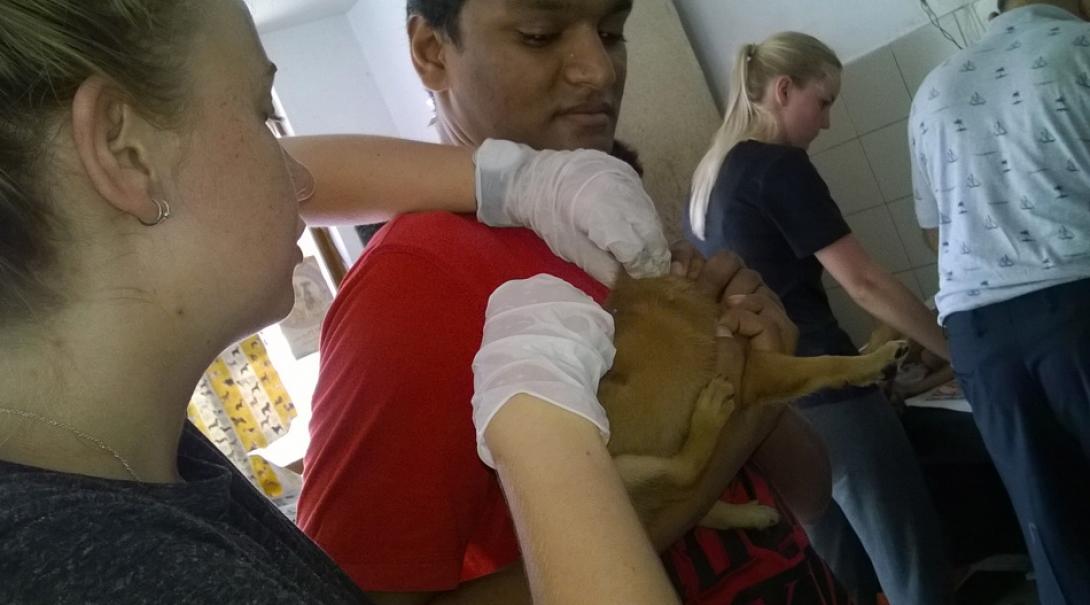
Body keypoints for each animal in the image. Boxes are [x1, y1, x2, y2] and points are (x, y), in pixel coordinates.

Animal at [601, 272, 906, 531]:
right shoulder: (753, 369)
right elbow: (825, 363)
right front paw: (877, 360)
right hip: (623, 470)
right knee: (684, 475)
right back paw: (710, 414)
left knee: (695, 507)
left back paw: (751, 515)